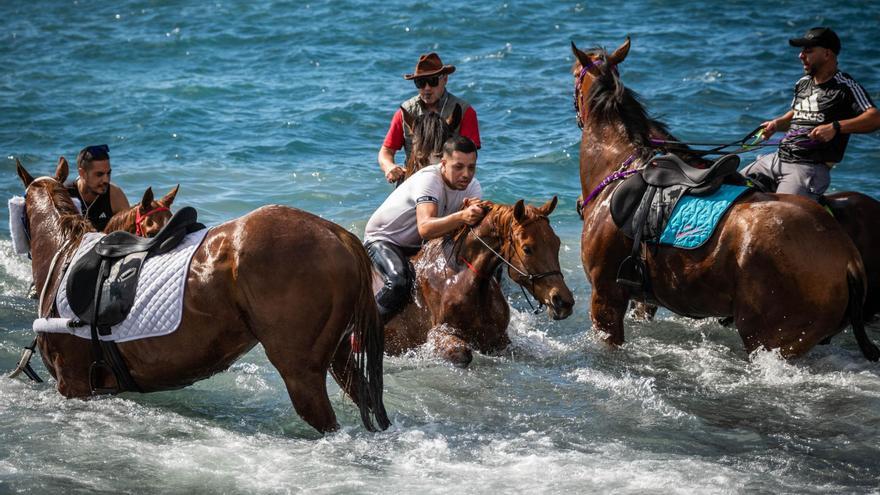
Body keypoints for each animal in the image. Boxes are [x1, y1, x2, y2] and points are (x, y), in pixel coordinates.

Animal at [382, 199, 576, 368]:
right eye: (527, 249)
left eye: (557, 243)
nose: (563, 301)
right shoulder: (438, 333)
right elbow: (462, 353)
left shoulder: (499, 338)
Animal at [568, 37, 876, 360]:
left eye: (574, 72)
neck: (617, 165)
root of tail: (847, 256)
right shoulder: (643, 299)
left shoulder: (606, 297)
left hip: (771, 338)